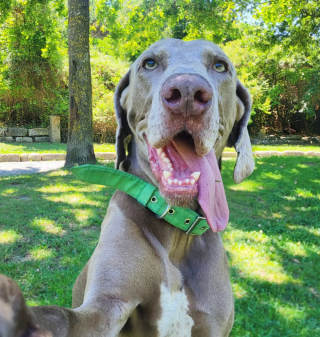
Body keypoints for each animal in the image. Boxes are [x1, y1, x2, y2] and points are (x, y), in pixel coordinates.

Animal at [0, 38, 255, 334]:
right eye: (150, 63)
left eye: (220, 65)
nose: (188, 92)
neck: (176, 232)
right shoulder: (107, 304)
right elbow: (61, 317)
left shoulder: (213, 322)